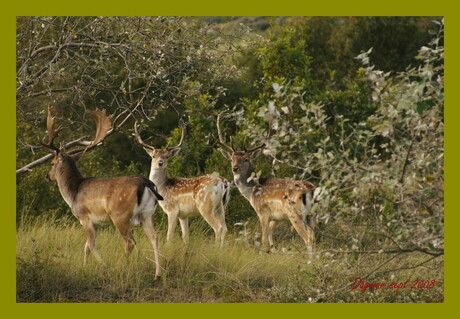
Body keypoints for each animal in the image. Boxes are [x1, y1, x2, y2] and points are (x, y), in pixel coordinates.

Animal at [41, 109, 164, 278]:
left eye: (52, 163)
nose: (47, 176)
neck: (73, 193)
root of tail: (147, 184)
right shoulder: (97, 223)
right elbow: (86, 247)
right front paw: (84, 267)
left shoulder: (84, 217)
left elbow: (91, 245)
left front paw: (104, 266)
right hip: (147, 214)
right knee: (155, 238)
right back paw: (157, 274)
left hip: (120, 215)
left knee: (130, 242)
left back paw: (118, 266)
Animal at [216, 114, 316, 254]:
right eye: (232, 159)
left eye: (246, 159)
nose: (235, 168)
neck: (252, 192)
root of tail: (311, 190)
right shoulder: (277, 217)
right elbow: (270, 235)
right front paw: (273, 250)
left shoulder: (263, 212)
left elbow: (263, 240)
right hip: (312, 216)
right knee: (313, 238)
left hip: (295, 214)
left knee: (308, 239)